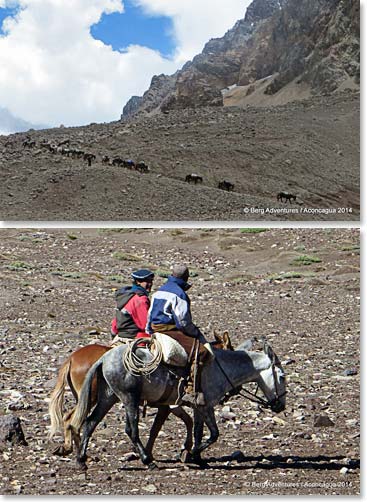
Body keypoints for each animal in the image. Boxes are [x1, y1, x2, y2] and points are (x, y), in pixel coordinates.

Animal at [49, 332, 233, 460]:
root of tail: (72, 358)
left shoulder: (170, 405)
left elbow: (185, 422)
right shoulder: (168, 406)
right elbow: (158, 428)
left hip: (94, 398)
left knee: (72, 418)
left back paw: (73, 450)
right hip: (92, 397)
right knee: (73, 420)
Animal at [70, 340, 286, 472]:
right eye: (282, 376)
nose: (281, 406)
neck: (221, 368)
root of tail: (104, 358)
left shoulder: (199, 407)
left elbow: (199, 431)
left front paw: (196, 457)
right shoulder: (206, 406)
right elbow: (214, 434)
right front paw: (191, 454)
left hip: (108, 397)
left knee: (90, 423)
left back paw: (81, 460)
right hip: (129, 398)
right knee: (131, 430)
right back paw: (148, 461)